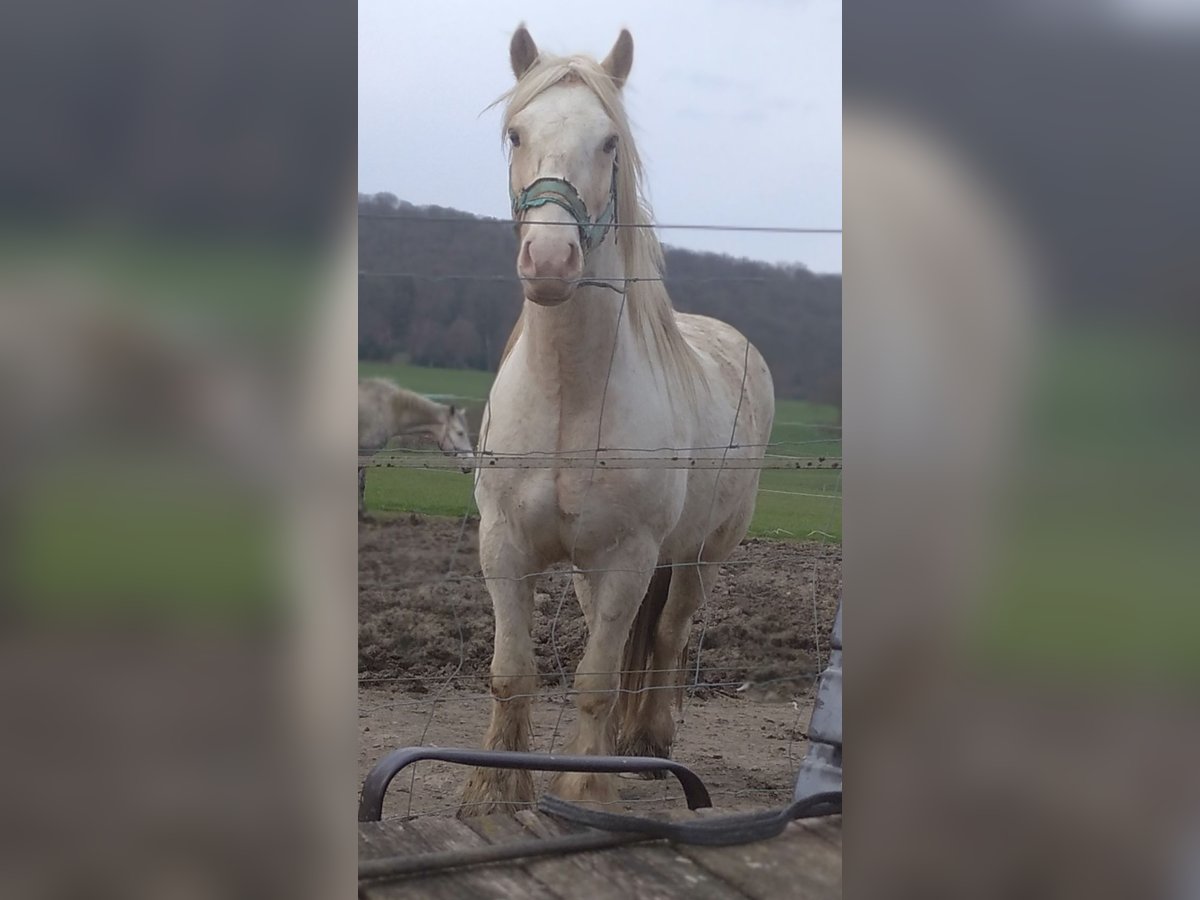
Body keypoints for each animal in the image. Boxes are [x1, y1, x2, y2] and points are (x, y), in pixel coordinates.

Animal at [458, 26, 777, 816]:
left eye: (609, 143)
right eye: (516, 132)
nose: (549, 259)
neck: (571, 395)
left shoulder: (630, 556)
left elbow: (597, 680)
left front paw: (586, 787)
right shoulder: (505, 547)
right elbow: (512, 671)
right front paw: (493, 787)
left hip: (697, 557)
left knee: (666, 635)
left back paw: (647, 742)